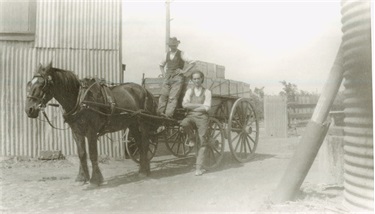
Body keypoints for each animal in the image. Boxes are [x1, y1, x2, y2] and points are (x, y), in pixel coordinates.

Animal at [25, 62, 157, 186]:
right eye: (29, 84)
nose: (29, 110)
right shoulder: (77, 132)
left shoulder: (91, 131)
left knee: (145, 144)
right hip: (132, 124)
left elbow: (93, 154)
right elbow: (82, 154)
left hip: (144, 123)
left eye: (42, 84)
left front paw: (95, 179)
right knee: (140, 144)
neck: (80, 100)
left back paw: (144, 171)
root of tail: (146, 91)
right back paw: (143, 169)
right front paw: (82, 178)